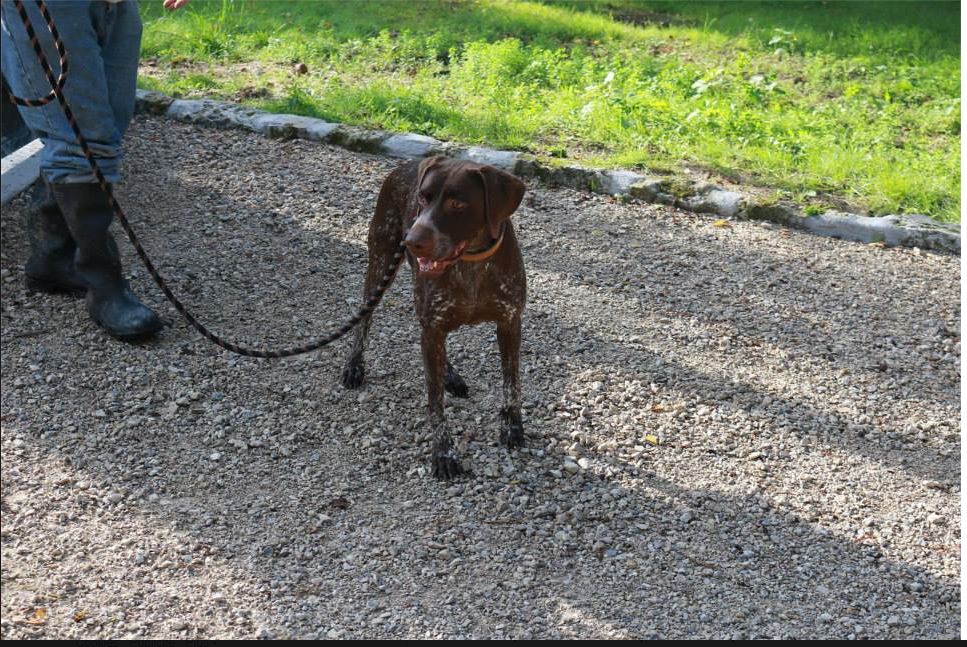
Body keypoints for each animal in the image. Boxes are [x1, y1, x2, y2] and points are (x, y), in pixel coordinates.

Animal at [342, 156, 528, 480]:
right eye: (423, 198)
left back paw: (450, 374)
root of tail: (405, 164)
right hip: (380, 261)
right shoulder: (432, 327)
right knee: (364, 320)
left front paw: (512, 426)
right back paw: (355, 366)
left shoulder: (509, 323)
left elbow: (511, 383)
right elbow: (435, 402)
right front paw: (443, 453)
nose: (411, 240)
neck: (471, 263)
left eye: (457, 203)